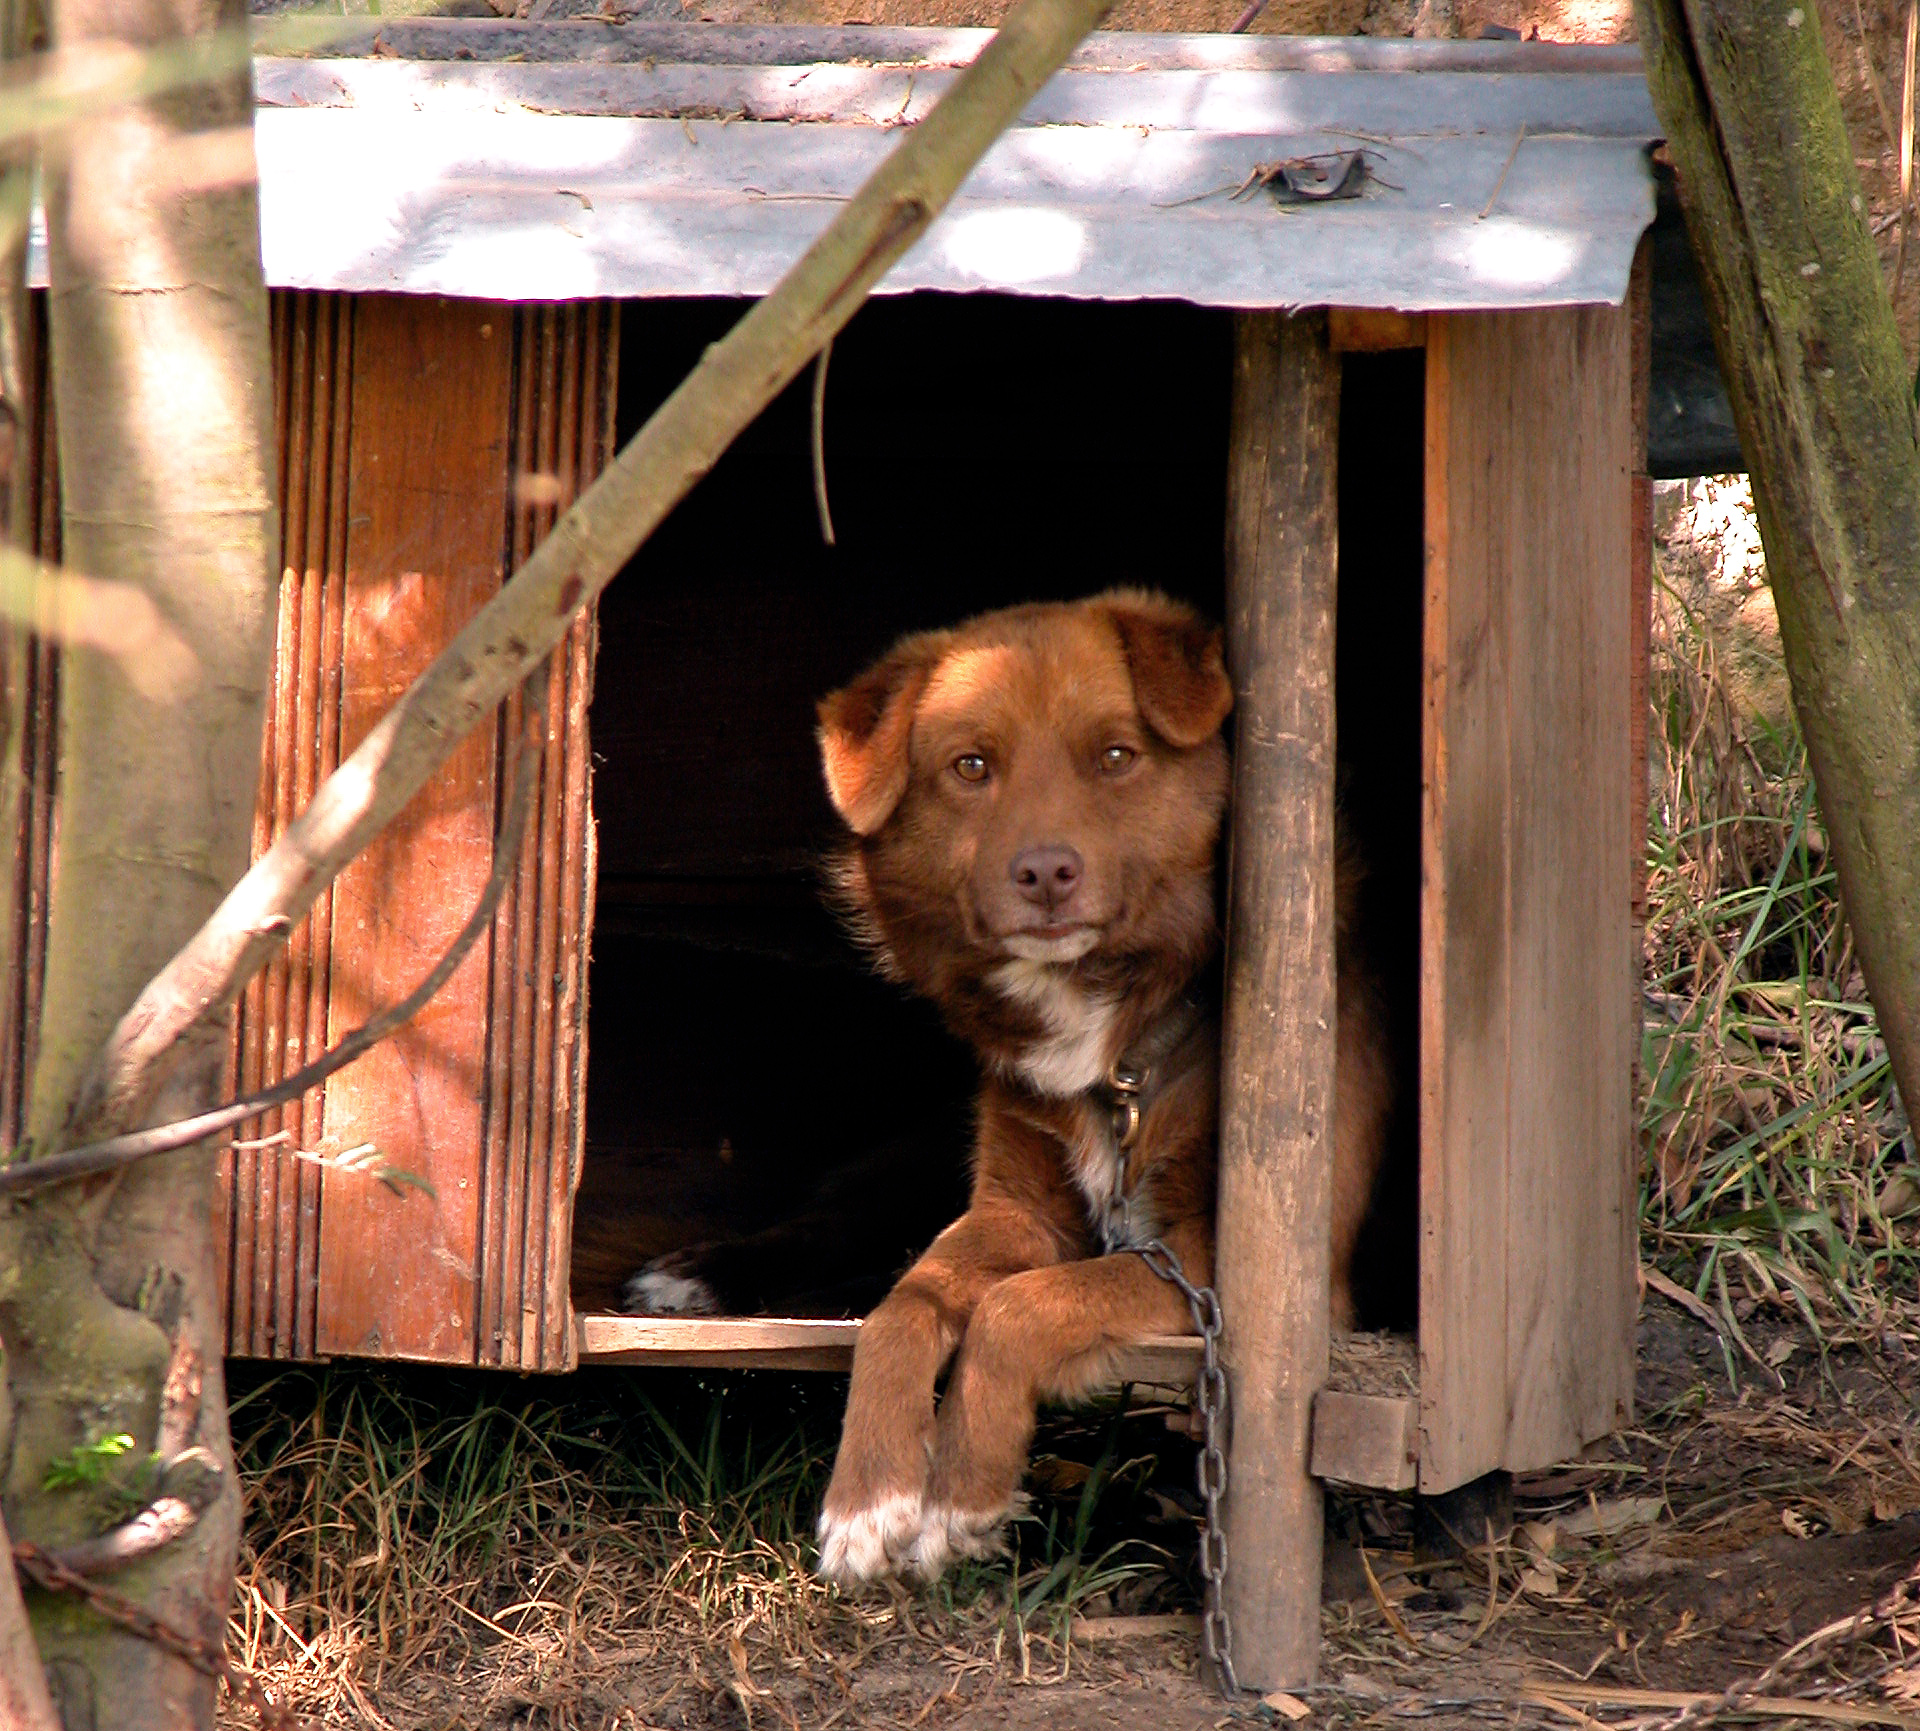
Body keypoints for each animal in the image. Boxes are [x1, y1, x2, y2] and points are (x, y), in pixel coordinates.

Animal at [814, 591, 1397, 1588]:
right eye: (971, 767)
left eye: (1117, 756)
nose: (1047, 873)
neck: (1116, 1053)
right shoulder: (1018, 1210)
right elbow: (905, 1304)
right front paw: (870, 1497)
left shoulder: (1229, 1257)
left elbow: (1019, 1307)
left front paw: (960, 1493)